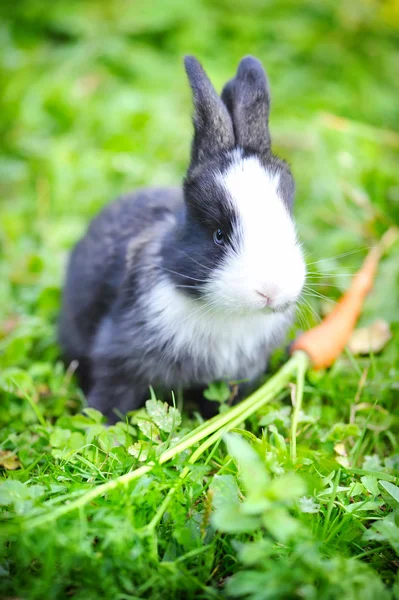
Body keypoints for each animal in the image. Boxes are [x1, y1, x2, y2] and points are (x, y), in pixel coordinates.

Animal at [58, 56, 306, 422]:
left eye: (289, 225)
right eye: (218, 235)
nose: (270, 292)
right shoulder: (119, 360)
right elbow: (111, 395)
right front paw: (100, 423)